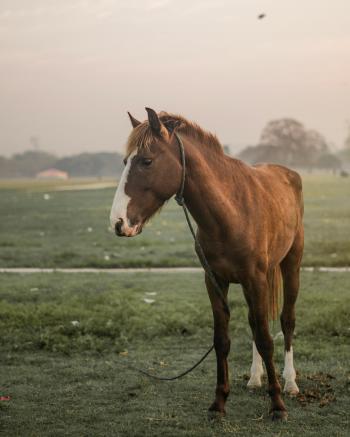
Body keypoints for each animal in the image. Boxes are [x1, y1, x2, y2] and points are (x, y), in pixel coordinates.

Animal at [109, 107, 304, 420]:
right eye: (126, 161)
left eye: (146, 161)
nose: (118, 222)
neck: (231, 212)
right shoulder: (215, 282)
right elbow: (222, 340)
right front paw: (219, 403)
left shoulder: (255, 279)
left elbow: (266, 339)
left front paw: (277, 405)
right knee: (255, 323)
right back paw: (254, 378)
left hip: (291, 266)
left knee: (286, 321)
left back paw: (290, 383)